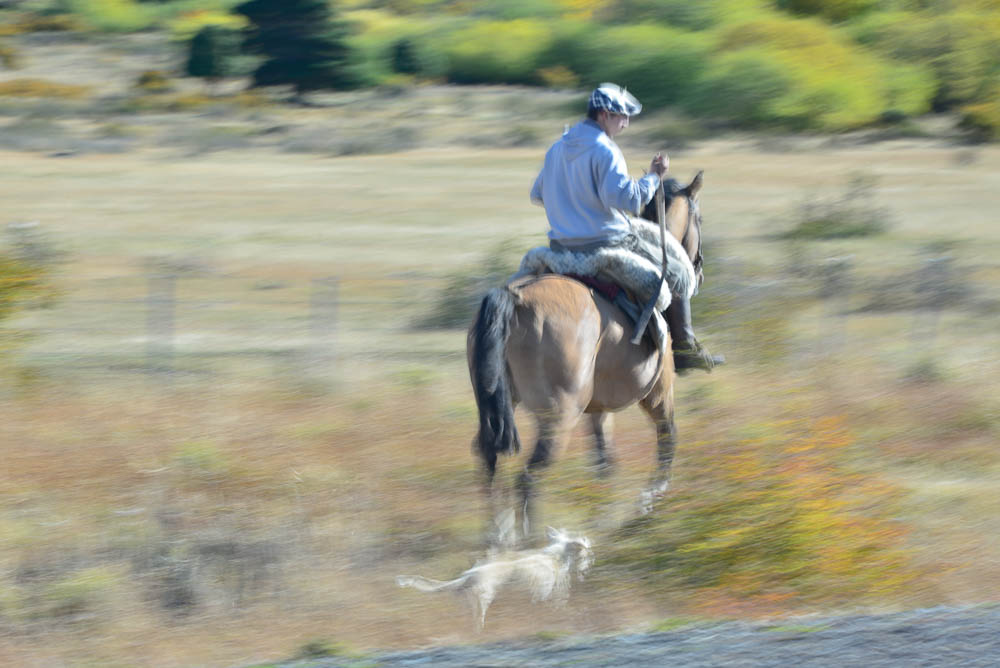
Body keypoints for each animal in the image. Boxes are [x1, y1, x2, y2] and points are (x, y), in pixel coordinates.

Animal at [468, 171, 705, 541]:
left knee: (491, 468)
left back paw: (499, 541)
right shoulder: (658, 394)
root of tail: (514, 299)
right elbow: (667, 445)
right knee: (528, 478)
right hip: (559, 417)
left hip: (498, 409)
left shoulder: (599, 410)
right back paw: (530, 543)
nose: (700, 265)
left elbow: (605, 462)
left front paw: (605, 513)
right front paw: (649, 506)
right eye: (699, 219)